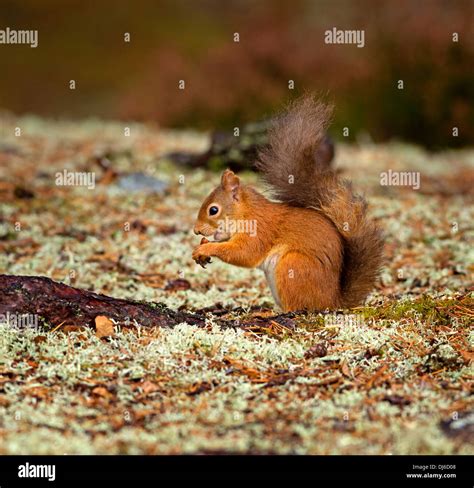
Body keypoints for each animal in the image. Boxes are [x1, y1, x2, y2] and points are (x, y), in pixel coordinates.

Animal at [191, 96, 384, 310]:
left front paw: (206, 248)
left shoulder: (259, 232)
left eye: (213, 210)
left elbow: (244, 253)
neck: (247, 212)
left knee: (298, 308)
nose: (196, 231)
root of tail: (333, 302)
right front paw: (202, 246)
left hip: (292, 266)